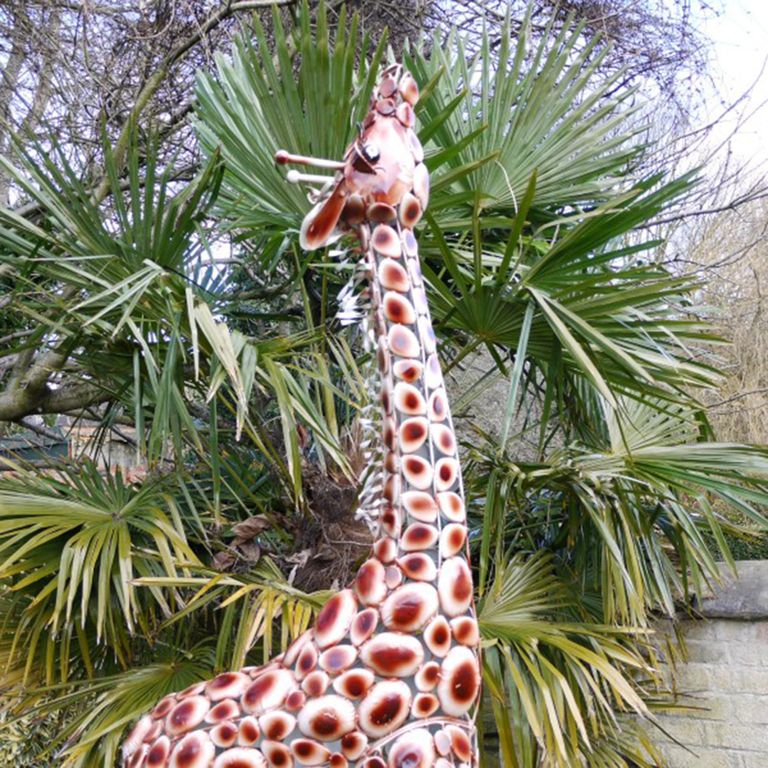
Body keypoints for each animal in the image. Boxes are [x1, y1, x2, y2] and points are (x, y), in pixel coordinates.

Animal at [121, 64, 481, 768]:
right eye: (365, 155)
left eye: (417, 146)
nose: (398, 76)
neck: (408, 563)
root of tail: (135, 735)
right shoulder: (433, 743)